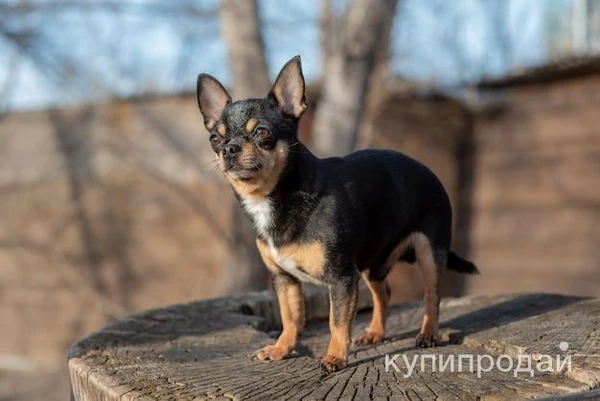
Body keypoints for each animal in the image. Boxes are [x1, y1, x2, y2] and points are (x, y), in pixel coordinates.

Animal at [197, 55, 478, 372]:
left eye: (262, 132)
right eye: (215, 139)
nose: (228, 149)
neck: (276, 197)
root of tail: (430, 172)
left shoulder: (341, 278)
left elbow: (336, 320)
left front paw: (334, 357)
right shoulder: (284, 279)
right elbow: (290, 318)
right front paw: (281, 349)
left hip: (429, 252)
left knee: (433, 295)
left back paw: (428, 334)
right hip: (373, 265)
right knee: (384, 294)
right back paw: (375, 333)